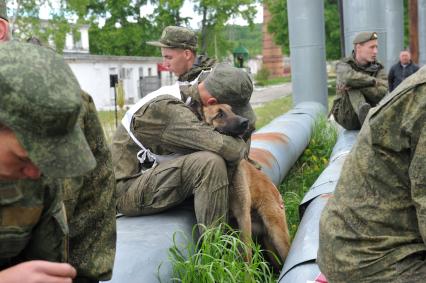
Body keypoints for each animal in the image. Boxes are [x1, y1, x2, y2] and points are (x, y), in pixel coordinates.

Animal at [202, 103, 290, 268]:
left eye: (232, 110)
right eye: (219, 114)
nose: (246, 122)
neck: (228, 172)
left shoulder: (242, 215)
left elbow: (246, 253)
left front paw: (248, 272)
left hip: (276, 233)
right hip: (269, 245)